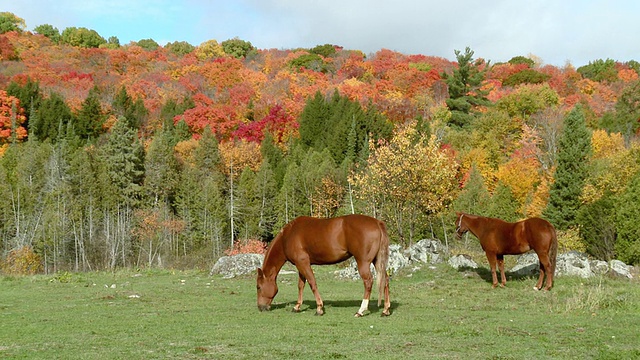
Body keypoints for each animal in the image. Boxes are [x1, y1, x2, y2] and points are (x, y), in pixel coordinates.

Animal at [258, 215, 392, 316]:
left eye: (258, 287)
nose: (260, 307)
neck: (288, 235)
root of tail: (377, 222)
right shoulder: (300, 265)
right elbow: (301, 285)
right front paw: (297, 307)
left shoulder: (303, 263)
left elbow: (312, 283)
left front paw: (319, 308)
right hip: (377, 261)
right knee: (385, 280)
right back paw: (385, 310)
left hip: (363, 262)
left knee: (368, 282)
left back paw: (360, 310)